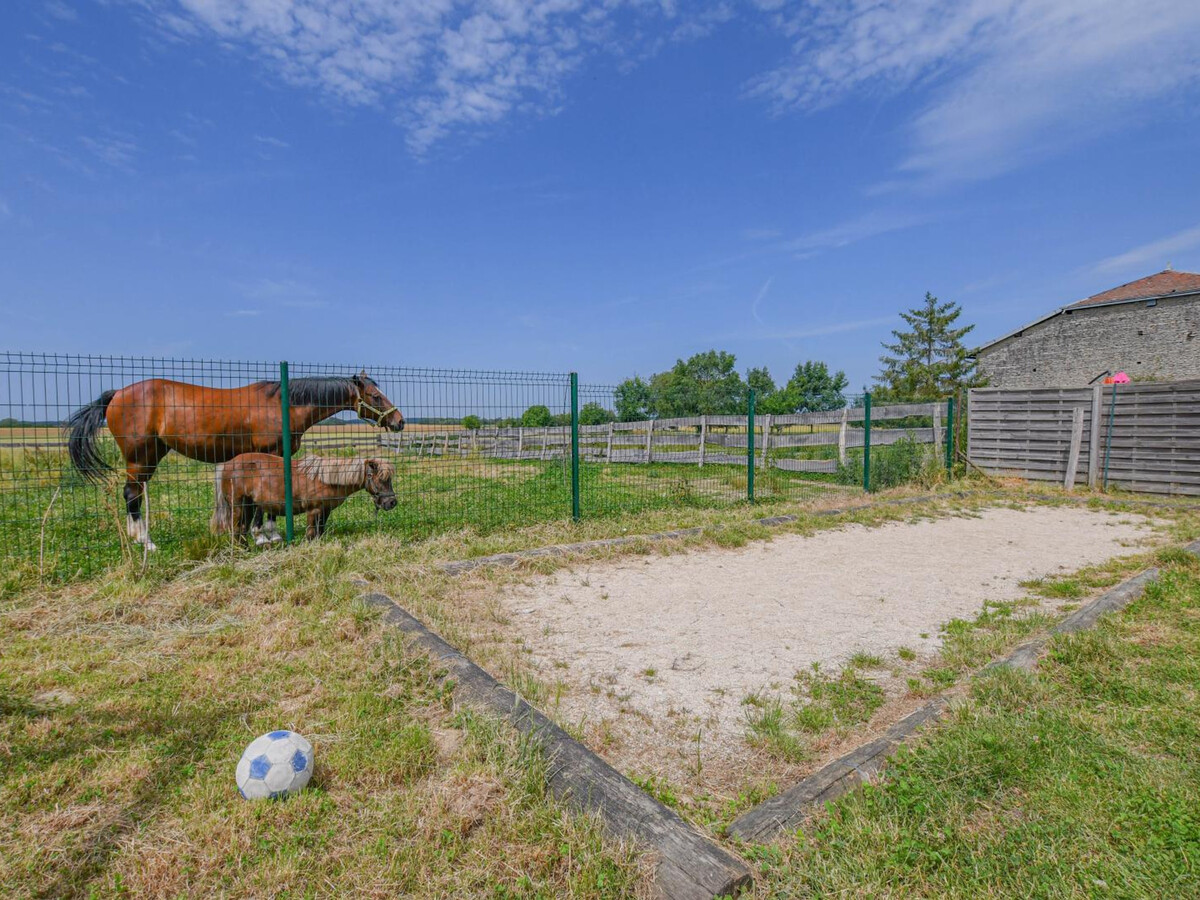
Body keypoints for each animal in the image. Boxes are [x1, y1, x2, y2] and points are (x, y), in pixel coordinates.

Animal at [211, 454, 397, 542]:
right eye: (380, 478)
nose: (392, 502)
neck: (325, 478)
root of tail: (227, 464)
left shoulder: (325, 511)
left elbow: (320, 532)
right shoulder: (313, 511)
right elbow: (311, 534)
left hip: (249, 506)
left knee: (242, 529)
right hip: (238, 506)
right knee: (236, 529)